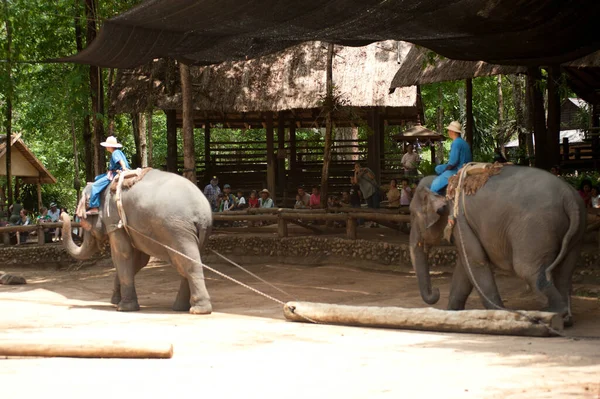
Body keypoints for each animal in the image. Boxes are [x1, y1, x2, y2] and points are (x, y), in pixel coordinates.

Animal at [61, 169, 213, 316]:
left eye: (82, 221)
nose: (63, 215)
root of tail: (202, 212)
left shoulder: (114, 220)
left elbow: (122, 254)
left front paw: (123, 307)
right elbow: (139, 260)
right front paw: (115, 301)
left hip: (177, 231)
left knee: (187, 262)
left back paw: (199, 310)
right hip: (198, 232)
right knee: (186, 262)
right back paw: (180, 308)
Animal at [410, 166, 584, 324]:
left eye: (412, 214)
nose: (436, 291)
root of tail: (569, 195)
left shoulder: (459, 219)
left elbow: (475, 261)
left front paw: (500, 313)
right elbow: (464, 267)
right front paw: (451, 313)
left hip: (536, 228)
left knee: (528, 270)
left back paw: (550, 313)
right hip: (573, 234)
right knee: (564, 272)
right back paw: (566, 318)